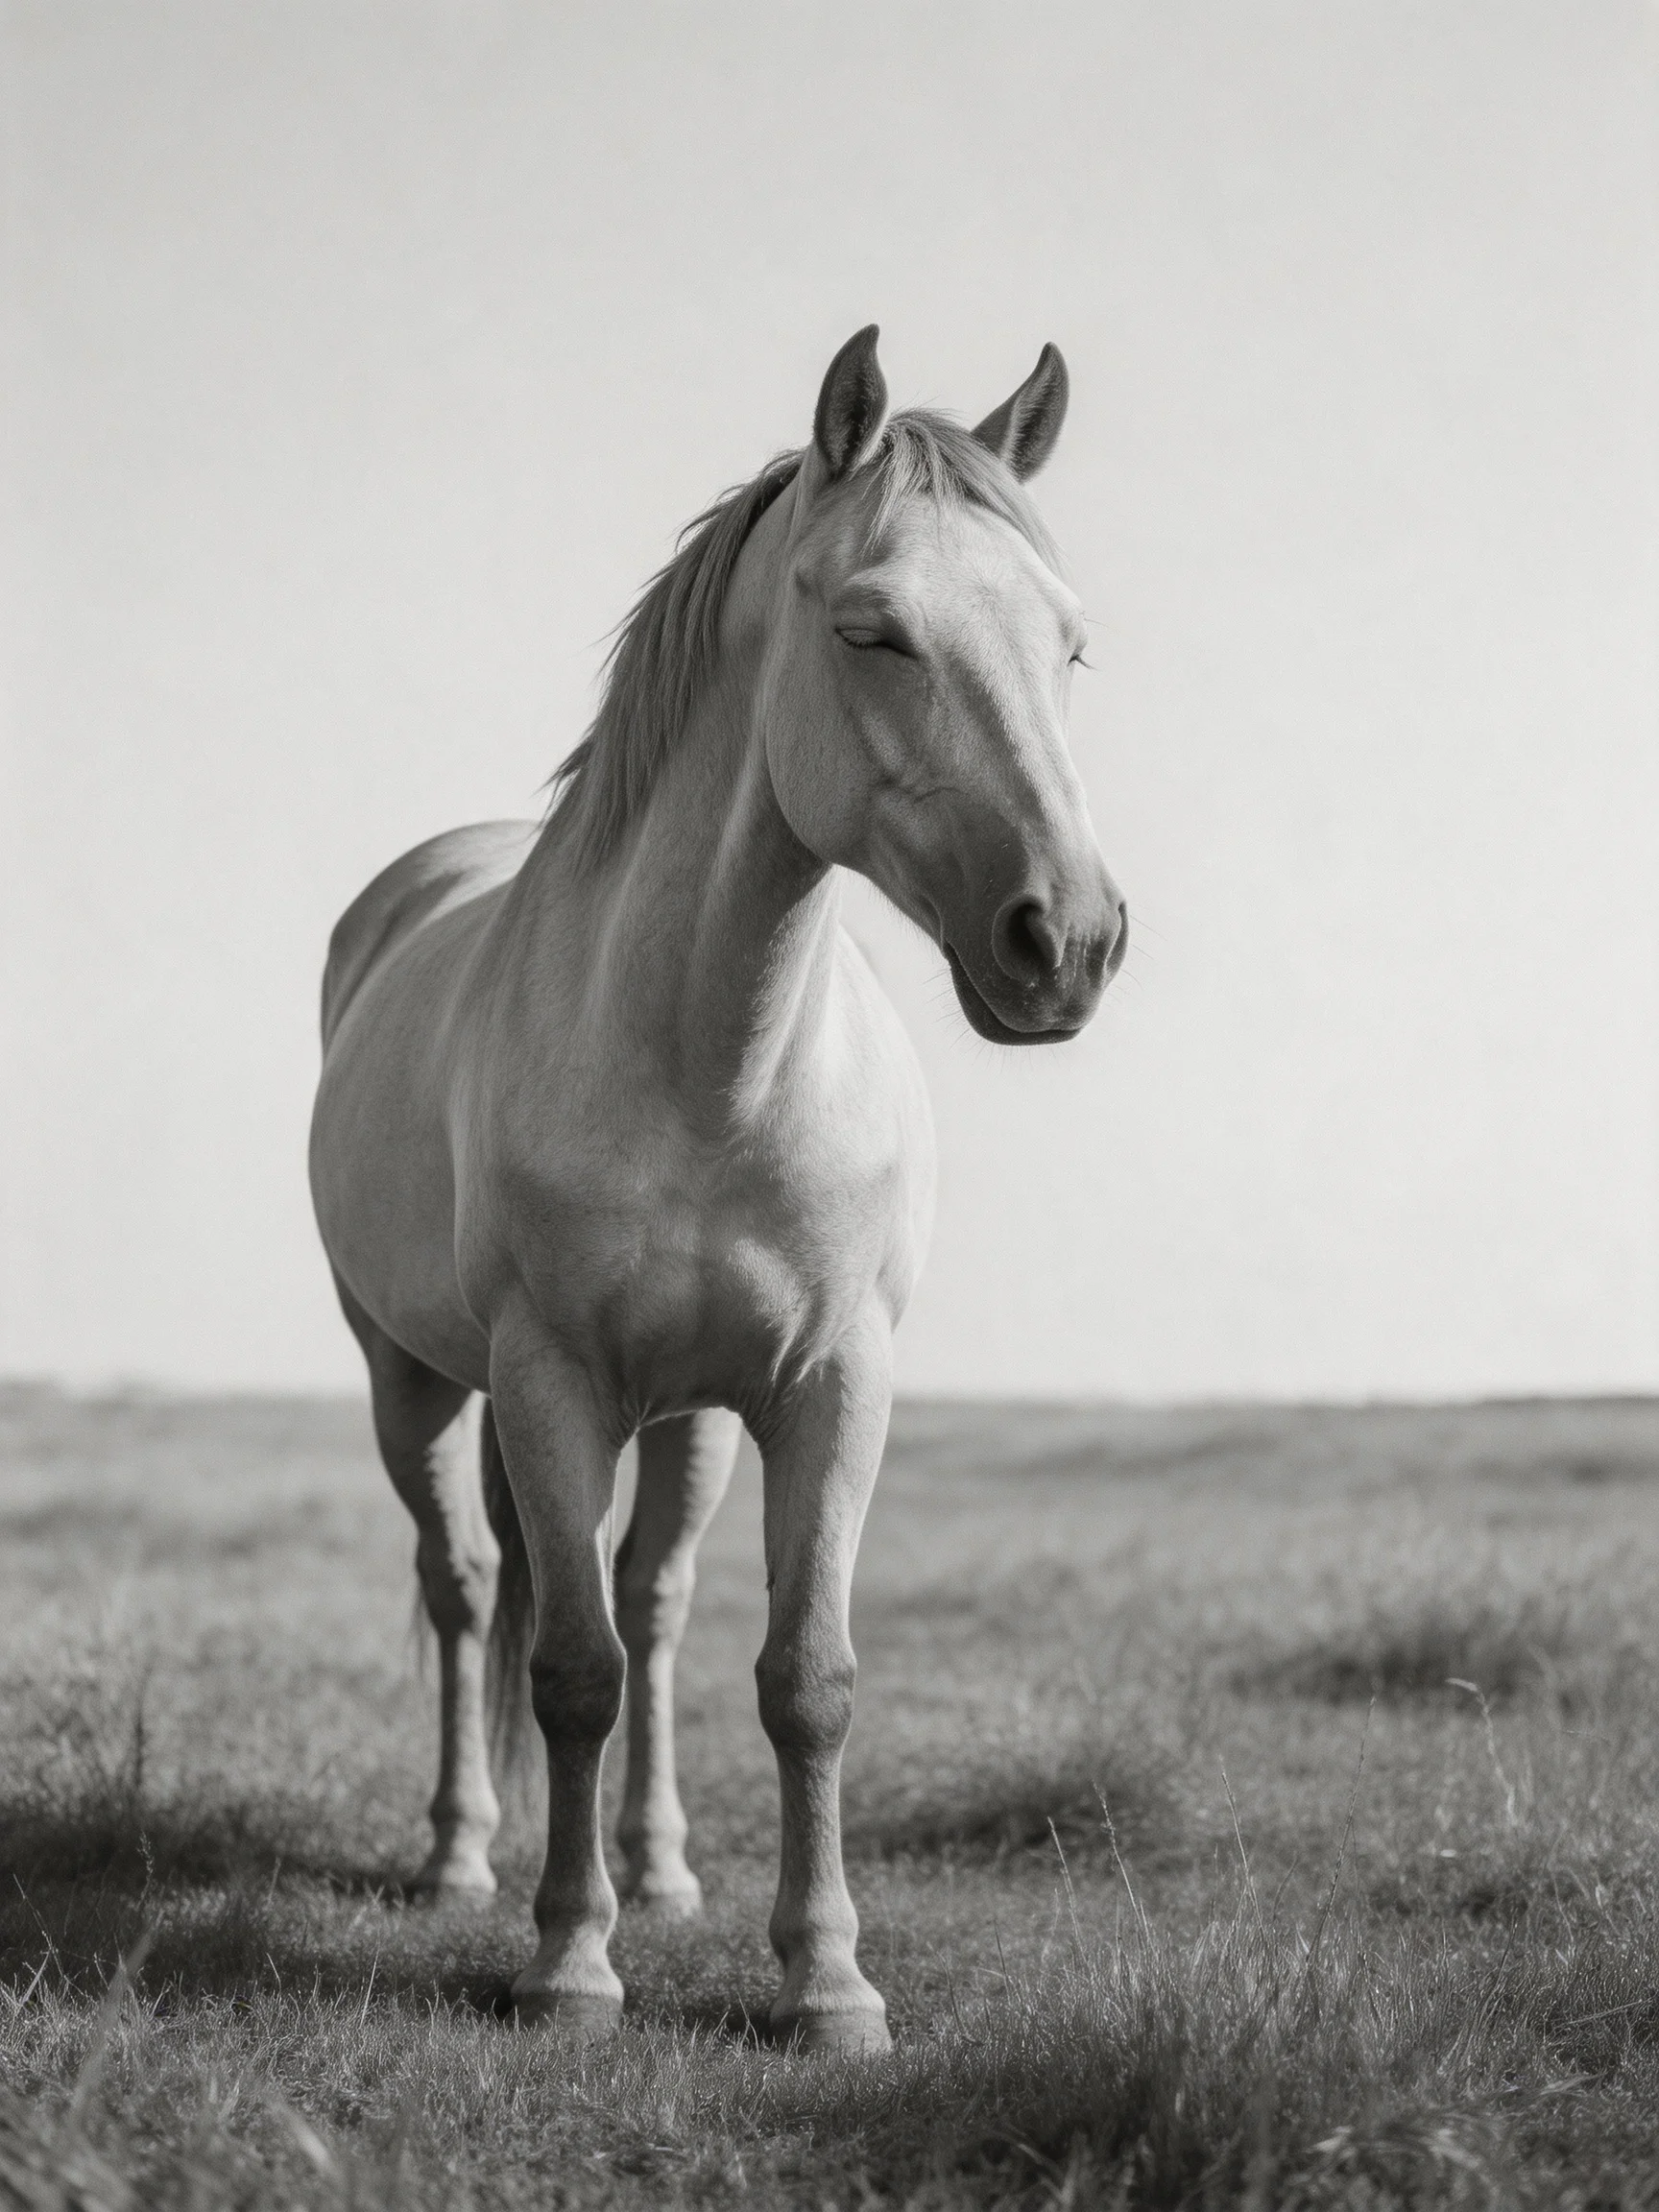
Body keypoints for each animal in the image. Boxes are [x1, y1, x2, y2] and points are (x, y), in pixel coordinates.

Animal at [308, 326, 1126, 2053]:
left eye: (1069, 644)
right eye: (872, 628)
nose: (1069, 940)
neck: (711, 1061)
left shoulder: (831, 1384)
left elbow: (800, 1675)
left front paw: (825, 1981)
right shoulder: (547, 1381)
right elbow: (568, 1669)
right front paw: (567, 1964)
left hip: (685, 1417)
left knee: (659, 1599)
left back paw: (661, 1868)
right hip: (413, 1378)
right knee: (470, 1587)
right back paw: (462, 1857)